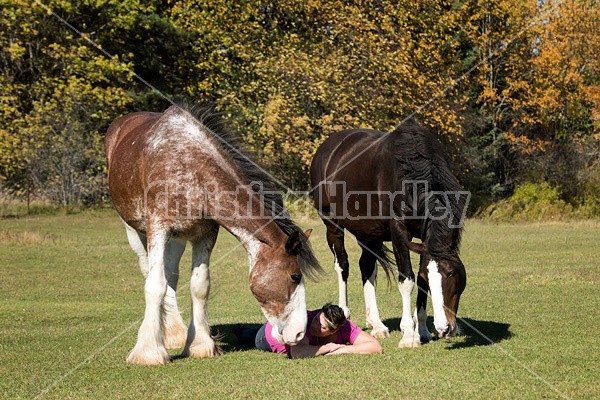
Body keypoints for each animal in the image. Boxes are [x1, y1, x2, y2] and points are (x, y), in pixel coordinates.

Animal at [108, 98, 324, 364]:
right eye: (294, 276)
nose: (299, 333)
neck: (189, 165)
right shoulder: (158, 227)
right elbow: (155, 285)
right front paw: (149, 352)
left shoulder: (205, 234)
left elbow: (199, 286)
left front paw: (199, 345)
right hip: (134, 229)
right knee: (150, 271)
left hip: (177, 240)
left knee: (171, 274)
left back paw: (174, 333)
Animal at [312, 119, 472, 346]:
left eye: (450, 273)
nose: (444, 328)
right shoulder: (399, 232)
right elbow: (407, 280)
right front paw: (409, 335)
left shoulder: (423, 239)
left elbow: (419, 281)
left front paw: (423, 330)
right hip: (332, 224)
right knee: (342, 265)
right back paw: (344, 313)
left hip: (367, 232)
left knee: (366, 267)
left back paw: (377, 324)